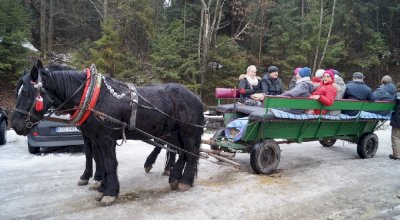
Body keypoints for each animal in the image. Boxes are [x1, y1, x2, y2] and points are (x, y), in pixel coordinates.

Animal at [12, 59, 203, 205]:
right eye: (17, 92)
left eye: (27, 92)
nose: (16, 125)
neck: (92, 97)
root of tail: (196, 97)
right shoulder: (94, 137)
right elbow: (99, 160)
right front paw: (100, 185)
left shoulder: (106, 138)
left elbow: (110, 163)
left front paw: (109, 192)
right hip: (175, 132)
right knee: (182, 153)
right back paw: (174, 177)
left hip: (188, 132)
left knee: (191, 154)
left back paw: (184, 181)